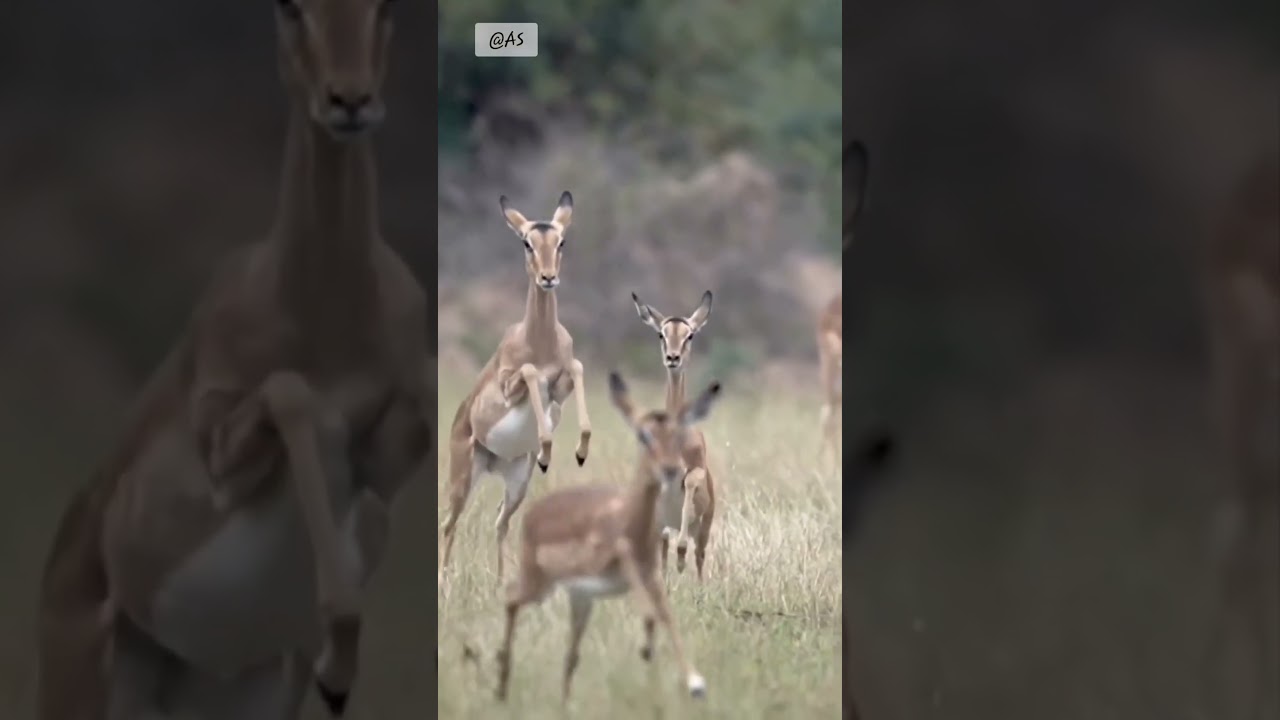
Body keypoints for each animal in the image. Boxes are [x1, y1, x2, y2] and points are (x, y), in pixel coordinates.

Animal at [36, 1, 431, 718]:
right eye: (289, 7)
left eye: (387, 7)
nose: (349, 100)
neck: (325, 313)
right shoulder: (223, 449)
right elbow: (294, 395)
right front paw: (337, 663)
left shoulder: (392, 457)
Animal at [437, 192, 594, 586]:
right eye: (526, 242)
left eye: (561, 241)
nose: (548, 278)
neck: (538, 340)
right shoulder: (512, 384)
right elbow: (530, 371)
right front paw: (547, 448)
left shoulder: (562, 384)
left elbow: (577, 367)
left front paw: (579, 450)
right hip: (464, 476)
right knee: (448, 523)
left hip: (517, 481)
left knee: (499, 521)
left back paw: (500, 583)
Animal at [494, 371, 721, 704]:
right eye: (643, 435)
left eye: (677, 436)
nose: (670, 470)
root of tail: (535, 512)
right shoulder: (627, 571)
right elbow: (651, 616)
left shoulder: (650, 576)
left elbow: (665, 616)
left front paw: (694, 682)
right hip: (541, 583)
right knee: (511, 598)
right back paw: (503, 683)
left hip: (579, 596)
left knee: (570, 652)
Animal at [630, 290, 716, 580]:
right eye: (661, 334)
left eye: (690, 335)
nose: (673, 358)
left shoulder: (696, 471)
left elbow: (688, 482)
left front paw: (681, 555)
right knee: (663, 548)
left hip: (704, 527)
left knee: (699, 555)